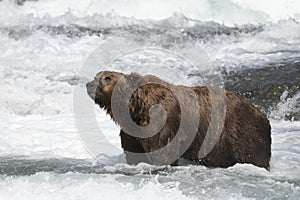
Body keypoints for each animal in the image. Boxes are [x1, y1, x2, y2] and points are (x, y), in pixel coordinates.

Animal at [85, 71, 270, 170]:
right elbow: (134, 153)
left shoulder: (163, 122)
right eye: (96, 75)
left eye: (107, 77)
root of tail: (262, 113)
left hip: (240, 132)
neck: (135, 107)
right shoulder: (132, 132)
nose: (89, 84)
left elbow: (162, 152)